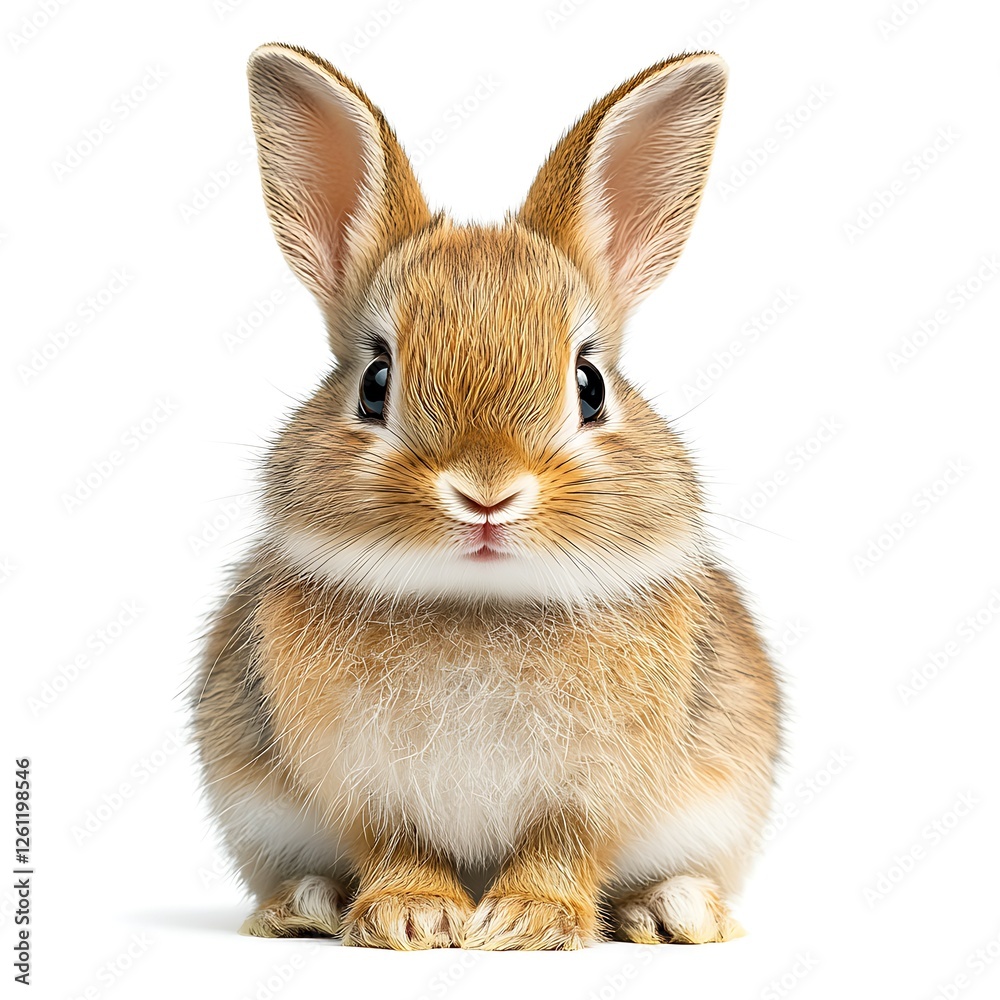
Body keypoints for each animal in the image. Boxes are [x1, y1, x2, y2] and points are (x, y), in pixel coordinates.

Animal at [190, 42, 782, 951]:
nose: (486, 495)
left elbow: (563, 849)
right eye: (375, 382)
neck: (477, 604)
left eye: (590, 386)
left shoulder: (590, 796)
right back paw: (306, 904)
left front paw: (525, 923)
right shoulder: (367, 788)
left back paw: (672, 910)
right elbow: (396, 846)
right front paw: (413, 916)